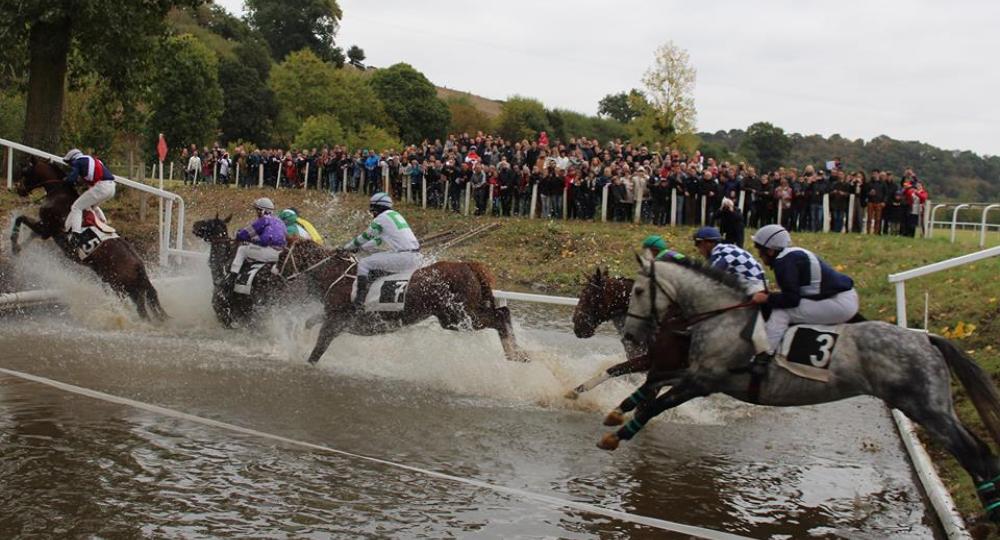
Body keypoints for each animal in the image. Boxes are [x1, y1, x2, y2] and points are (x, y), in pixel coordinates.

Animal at [8, 155, 166, 320]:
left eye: (25, 171)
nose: (18, 189)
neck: (57, 193)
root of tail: (139, 268)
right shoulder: (45, 227)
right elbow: (30, 234)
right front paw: (19, 248)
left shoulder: (47, 228)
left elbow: (20, 218)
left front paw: (14, 245)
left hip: (123, 288)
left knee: (143, 314)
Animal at [274, 242, 524, 364]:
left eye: (282, 256)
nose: (275, 274)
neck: (336, 275)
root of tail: (468, 265)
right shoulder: (331, 317)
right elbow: (309, 322)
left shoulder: (335, 322)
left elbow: (317, 352)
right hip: (462, 313)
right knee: (503, 311)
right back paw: (519, 353)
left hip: (457, 316)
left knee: (500, 316)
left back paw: (515, 354)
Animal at [600, 254, 1000, 524]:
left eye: (638, 290)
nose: (631, 334)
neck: (722, 316)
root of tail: (927, 339)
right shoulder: (700, 375)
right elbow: (653, 382)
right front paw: (616, 410)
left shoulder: (703, 381)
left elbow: (657, 403)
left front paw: (616, 435)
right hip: (931, 407)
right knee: (979, 451)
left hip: (925, 407)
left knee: (974, 453)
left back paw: (990, 511)